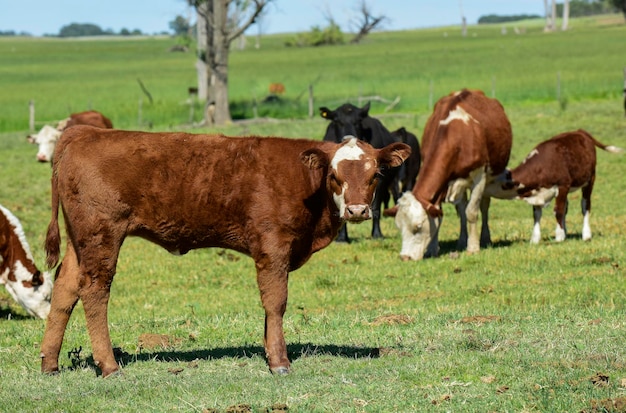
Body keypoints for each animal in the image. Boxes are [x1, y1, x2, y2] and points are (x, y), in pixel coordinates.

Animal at [39, 125, 410, 376]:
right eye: (334, 175)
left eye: (375, 175)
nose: (358, 210)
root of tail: (85, 132)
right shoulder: (273, 246)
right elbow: (275, 302)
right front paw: (279, 362)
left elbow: (268, 308)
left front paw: (268, 350)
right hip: (102, 235)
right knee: (94, 291)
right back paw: (109, 365)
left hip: (80, 241)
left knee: (64, 288)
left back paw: (49, 363)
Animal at [322, 101, 420, 241]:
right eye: (337, 121)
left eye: (358, 121)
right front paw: (342, 238)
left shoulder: (380, 181)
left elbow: (376, 207)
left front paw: (377, 234)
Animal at [394, 88, 512, 260]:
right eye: (399, 226)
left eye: (418, 226)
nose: (405, 257)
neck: (454, 134)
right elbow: (444, 213)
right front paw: (433, 248)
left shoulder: (479, 176)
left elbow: (472, 212)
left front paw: (473, 247)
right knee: (462, 208)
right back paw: (462, 240)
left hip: (488, 177)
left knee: (483, 206)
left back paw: (485, 238)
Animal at [488, 129, 620, 243]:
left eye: (490, 180)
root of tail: (579, 131)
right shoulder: (537, 192)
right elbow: (537, 215)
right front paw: (535, 239)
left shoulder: (562, 186)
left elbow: (558, 211)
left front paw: (559, 237)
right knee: (567, 207)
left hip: (590, 179)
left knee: (585, 206)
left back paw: (586, 235)